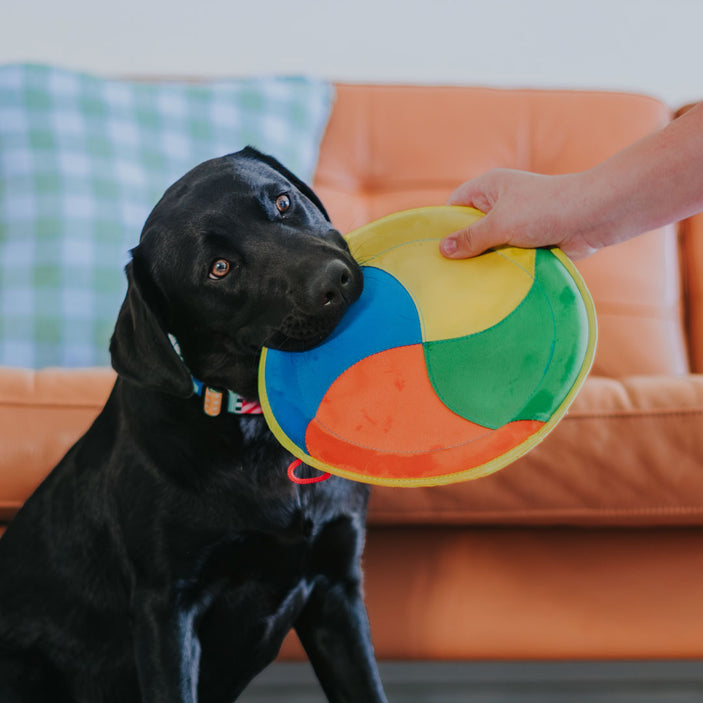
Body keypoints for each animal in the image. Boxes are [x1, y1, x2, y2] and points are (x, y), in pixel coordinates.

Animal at [0, 150, 384, 703]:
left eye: (283, 201)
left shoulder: (335, 587)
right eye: (219, 269)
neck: (258, 434)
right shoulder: (166, 607)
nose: (334, 280)